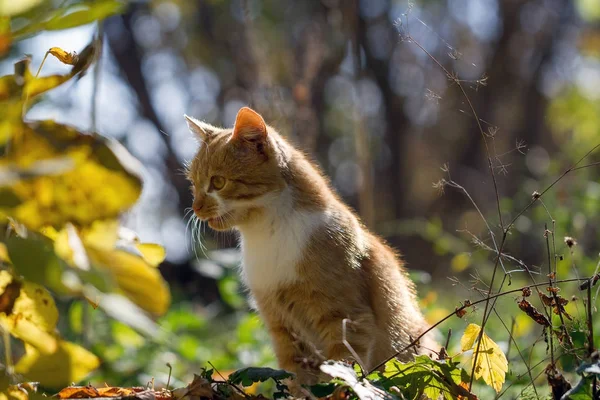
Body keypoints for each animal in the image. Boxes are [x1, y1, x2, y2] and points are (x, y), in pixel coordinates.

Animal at [184, 107, 436, 388]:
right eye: (193, 183)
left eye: (218, 182)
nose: (195, 207)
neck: (267, 234)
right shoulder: (281, 327)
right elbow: (297, 378)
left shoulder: (347, 321)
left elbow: (339, 373)